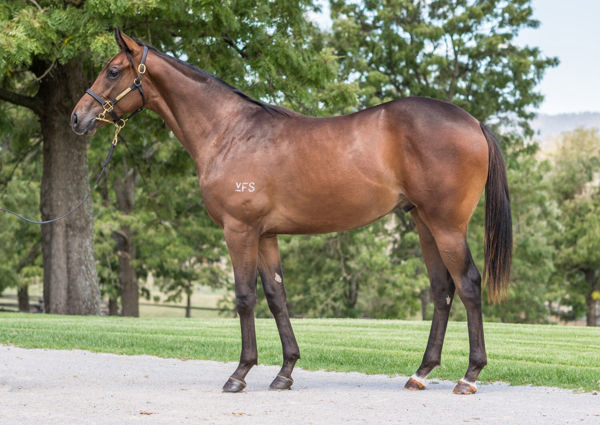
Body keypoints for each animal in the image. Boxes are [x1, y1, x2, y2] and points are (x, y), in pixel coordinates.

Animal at [70, 29, 510, 394]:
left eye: (112, 71)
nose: (77, 118)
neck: (231, 133)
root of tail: (473, 122)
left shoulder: (239, 230)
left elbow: (245, 297)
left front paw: (240, 373)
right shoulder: (266, 235)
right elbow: (276, 297)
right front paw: (284, 372)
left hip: (446, 224)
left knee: (468, 284)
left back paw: (469, 376)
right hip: (423, 222)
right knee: (442, 289)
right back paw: (421, 372)